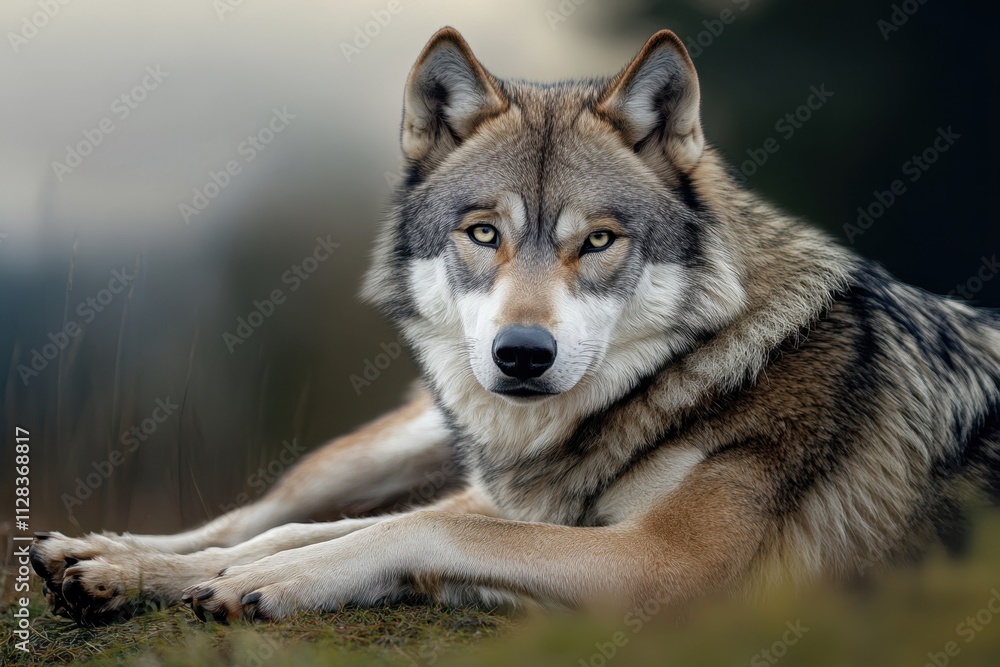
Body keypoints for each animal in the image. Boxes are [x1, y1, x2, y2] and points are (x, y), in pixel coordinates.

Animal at [30, 27, 1000, 625]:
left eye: (597, 240)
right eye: (484, 232)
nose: (523, 355)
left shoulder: (672, 565)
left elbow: (412, 534)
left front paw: (268, 585)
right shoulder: (526, 511)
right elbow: (301, 533)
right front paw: (163, 571)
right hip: (396, 445)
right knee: (260, 509)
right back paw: (96, 553)